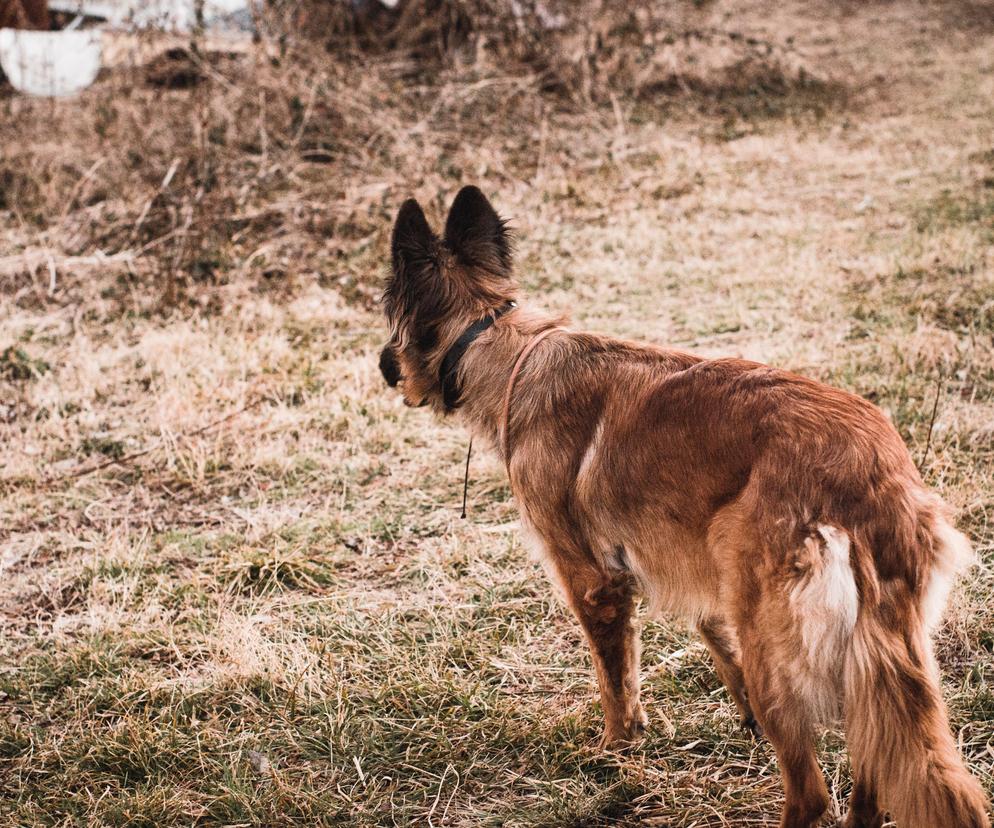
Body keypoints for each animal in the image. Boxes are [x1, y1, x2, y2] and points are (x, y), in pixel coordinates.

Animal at [376, 188, 988, 828]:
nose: (382, 365)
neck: (499, 343)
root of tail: (871, 472)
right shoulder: (692, 559)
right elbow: (711, 633)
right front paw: (736, 713)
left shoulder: (592, 581)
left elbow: (615, 679)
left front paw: (615, 748)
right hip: (864, 657)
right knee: (871, 775)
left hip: (776, 647)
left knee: (812, 792)